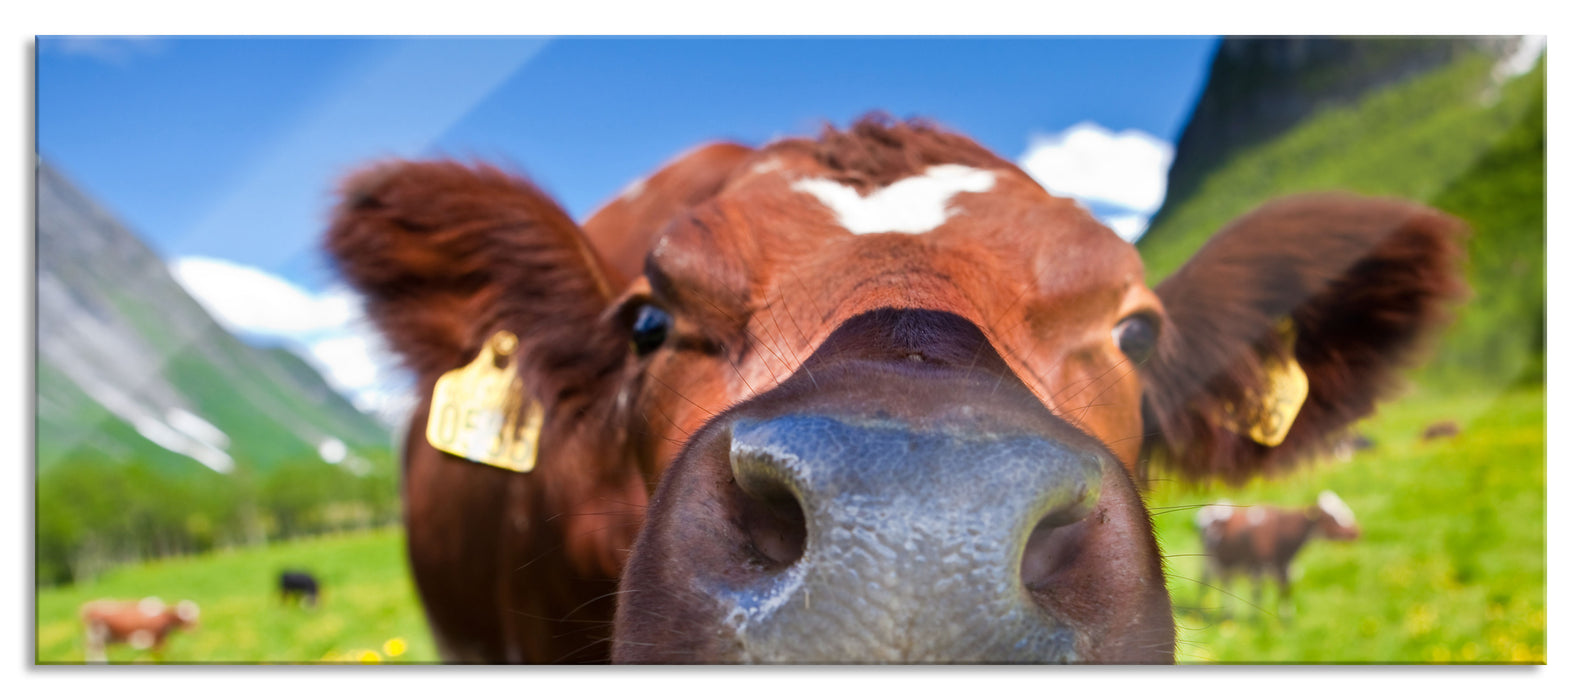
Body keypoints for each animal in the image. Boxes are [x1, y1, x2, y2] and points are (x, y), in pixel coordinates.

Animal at [1195, 490, 1360, 614]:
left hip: (1226, 565)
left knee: (1226, 584)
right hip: (1208, 562)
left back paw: (1228, 613)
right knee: (1205, 584)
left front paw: (1286, 623)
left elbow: (1285, 595)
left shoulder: (1287, 570)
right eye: (1331, 517)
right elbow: (1258, 595)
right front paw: (1257, 620)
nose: (1357, 532)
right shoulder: (1258, 568)